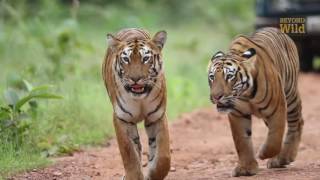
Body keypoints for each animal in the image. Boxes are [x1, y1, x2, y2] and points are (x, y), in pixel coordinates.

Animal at [102, 28, 171, 180]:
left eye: (145, 58)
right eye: (126, 59)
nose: (135, 79)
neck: (140, 99)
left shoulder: (157, 117)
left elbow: (163, 157)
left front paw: (153, 174)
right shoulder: (122, 119)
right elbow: (129, 154)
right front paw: (134, 176)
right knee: (137, 148)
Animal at [208, 27, 302, 176]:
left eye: (229, 76)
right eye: (212, 77)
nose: (216, 97)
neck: (246, 94)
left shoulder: (278, 107)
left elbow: (275, 138)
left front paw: (263, 154)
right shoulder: (237, 114)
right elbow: (242, 140)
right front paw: (246, 168)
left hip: (290, 95)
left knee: (296, 123)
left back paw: (283, 158)